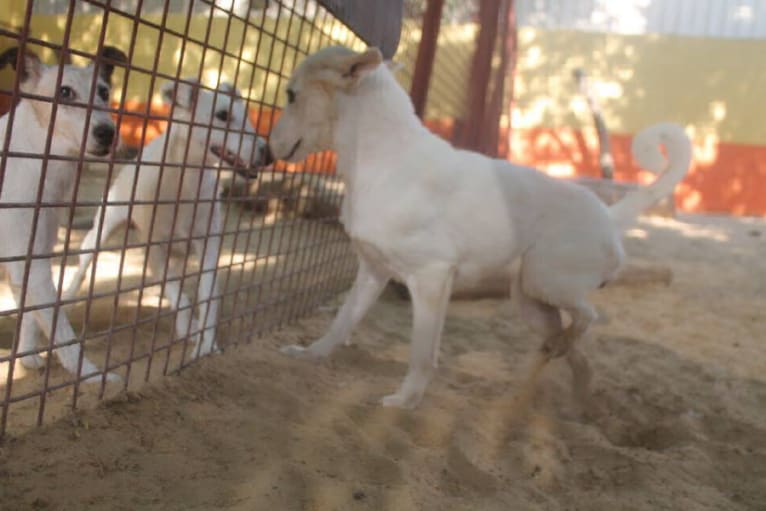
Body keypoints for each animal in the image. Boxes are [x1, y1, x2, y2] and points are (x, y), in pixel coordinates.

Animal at [66, 79, 274, 360]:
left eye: (249, 117)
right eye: (222, 115)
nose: (269, 155)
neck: (184, 184)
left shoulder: (207, 248)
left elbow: (206, 298)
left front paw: (206, 344)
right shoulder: (156, 252)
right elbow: (180, 298)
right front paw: (189, 328)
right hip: (102, 229)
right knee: (83, 263)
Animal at [270, 46, 696, 410]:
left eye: (291, 95)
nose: (267, 148)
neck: (381, 160)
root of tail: (609, 215)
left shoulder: (431, 278)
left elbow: (422, 354)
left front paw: (405, 402)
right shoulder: (372, 272)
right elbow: (341, 323)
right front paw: (309, 356)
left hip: (547, 281)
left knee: (588, 317)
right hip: (531, 302)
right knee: (578, 354)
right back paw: (563, 389)